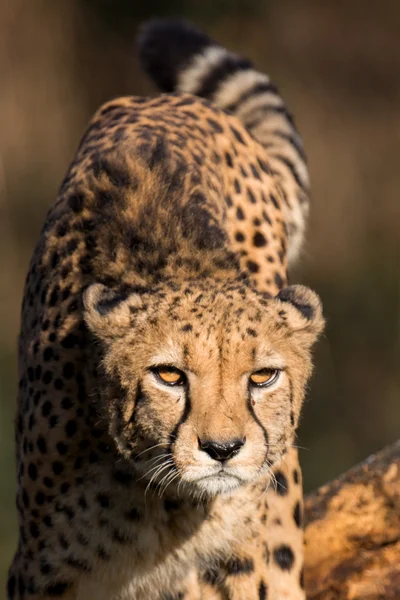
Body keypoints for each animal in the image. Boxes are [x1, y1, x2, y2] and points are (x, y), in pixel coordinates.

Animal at [7, 18, 324, 600]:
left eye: (263, 376)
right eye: (170, 375)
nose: (222, 449)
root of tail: (161, 101)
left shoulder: (244, 560)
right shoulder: (43, 571)